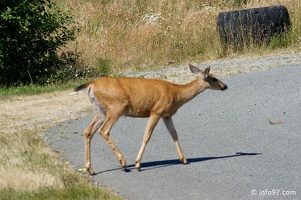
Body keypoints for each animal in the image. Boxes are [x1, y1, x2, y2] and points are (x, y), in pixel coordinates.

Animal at [71, 63, 226, 174]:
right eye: (213, 78)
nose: (225, 86)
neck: (177, 94)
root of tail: (91, 85)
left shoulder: (167, 115)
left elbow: (174, 134)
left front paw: (184, 159)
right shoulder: (156, 111)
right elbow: (147, 136)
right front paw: (138, 164)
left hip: (100, 110)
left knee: (88, 131)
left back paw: (90, 169)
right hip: (116, 107)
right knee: (103, 130)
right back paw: (123, 163)